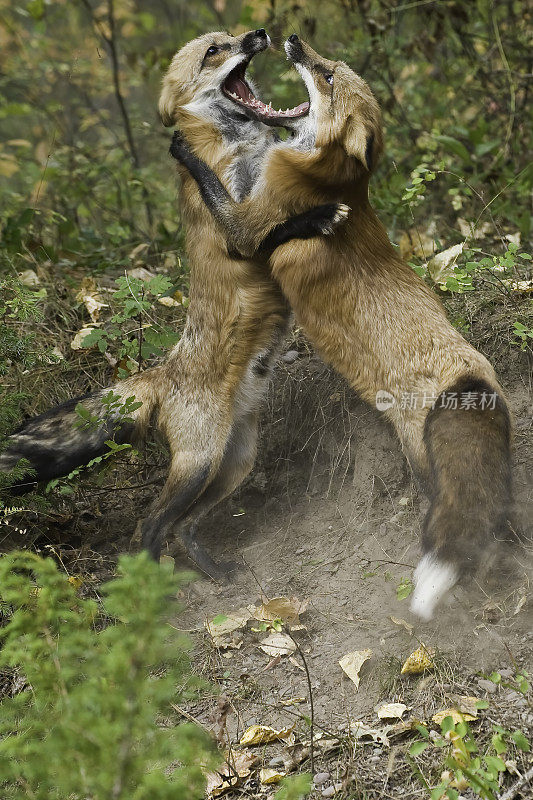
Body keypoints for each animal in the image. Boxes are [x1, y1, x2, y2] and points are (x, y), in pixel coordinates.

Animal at [0, 31, 344, 580]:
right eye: (213, 51)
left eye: (233, 37)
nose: (259, 35)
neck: (242, 146)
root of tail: (160, 373)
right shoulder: (240, 232)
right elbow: (270, 223)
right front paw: (319, 214)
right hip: (199, 464)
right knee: (149, 525)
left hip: (234, 463)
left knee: (182, 527)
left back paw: (213, 571)